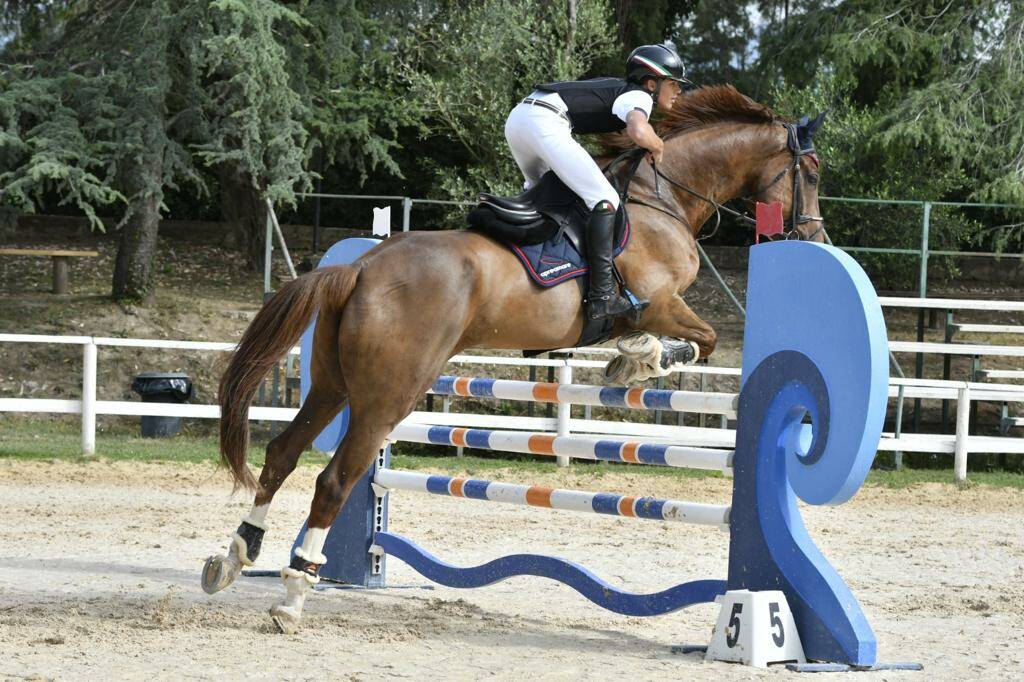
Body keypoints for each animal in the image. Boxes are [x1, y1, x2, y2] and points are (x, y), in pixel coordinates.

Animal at [201, 84, 831, 630]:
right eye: (813, 170)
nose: (816, 238)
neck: (665, 198)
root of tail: (360, 267)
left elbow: (703, 340)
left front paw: (630, 360)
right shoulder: (658, 303)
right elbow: (704, 339)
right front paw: (642, 356)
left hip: (334, 385)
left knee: (282, 453)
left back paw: (235, 556)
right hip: (388, 395)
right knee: (334, 479)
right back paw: (294, 594)